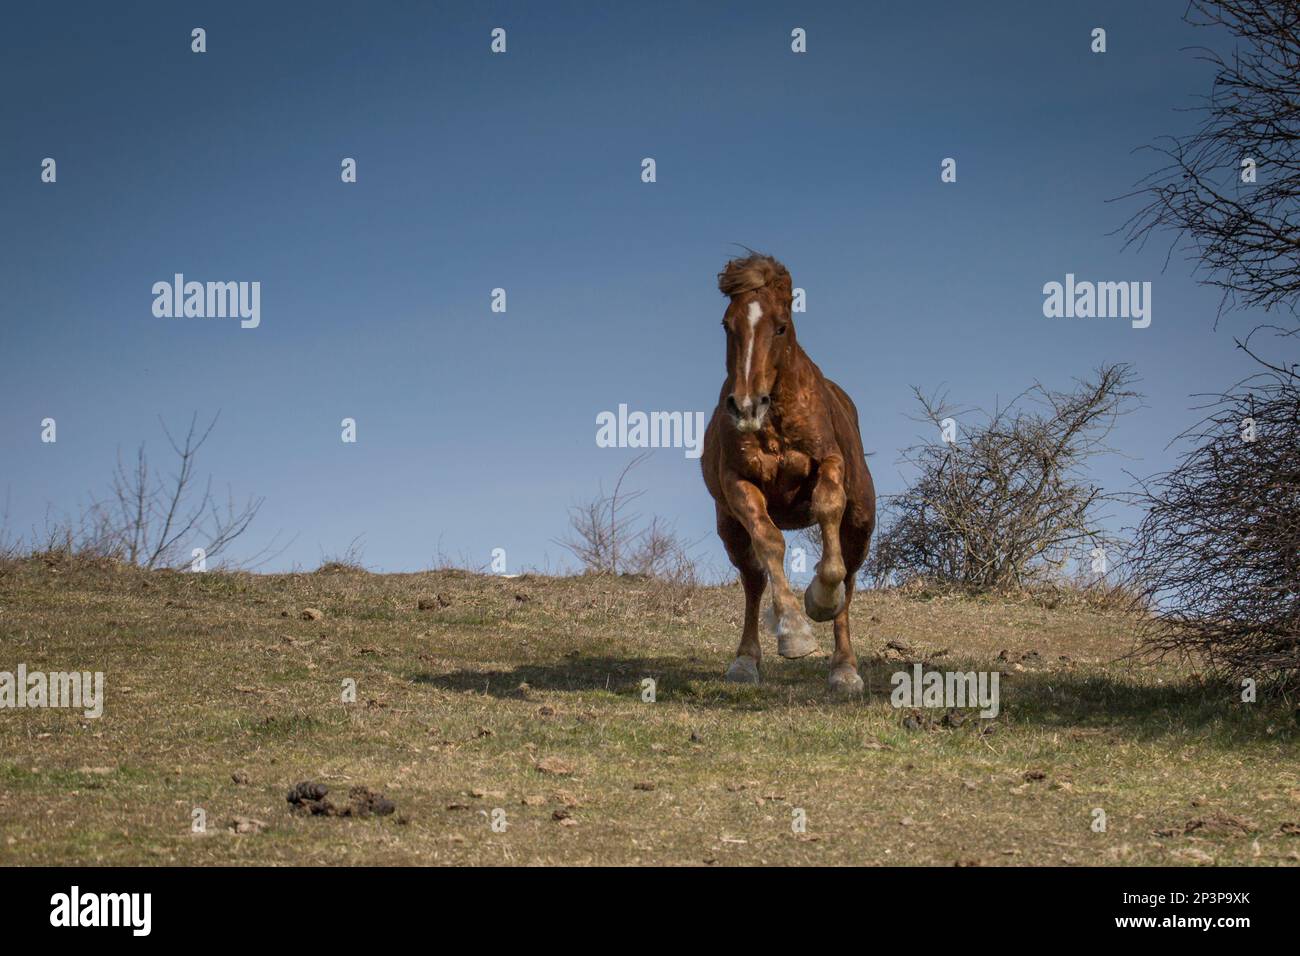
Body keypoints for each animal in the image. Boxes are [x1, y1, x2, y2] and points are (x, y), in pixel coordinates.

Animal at [702, 254, 873, 697]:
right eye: (727, 324)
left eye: (780, 326)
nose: (746, 406)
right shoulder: (739, 485)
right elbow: (769, 542)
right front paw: (794, 631)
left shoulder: (829, 463)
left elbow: (828, 513)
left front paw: (819, 599)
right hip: (729, 528)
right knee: (752, 580)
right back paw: (746, 660)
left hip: (861, 520)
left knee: (849, 576)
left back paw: (844, 668)